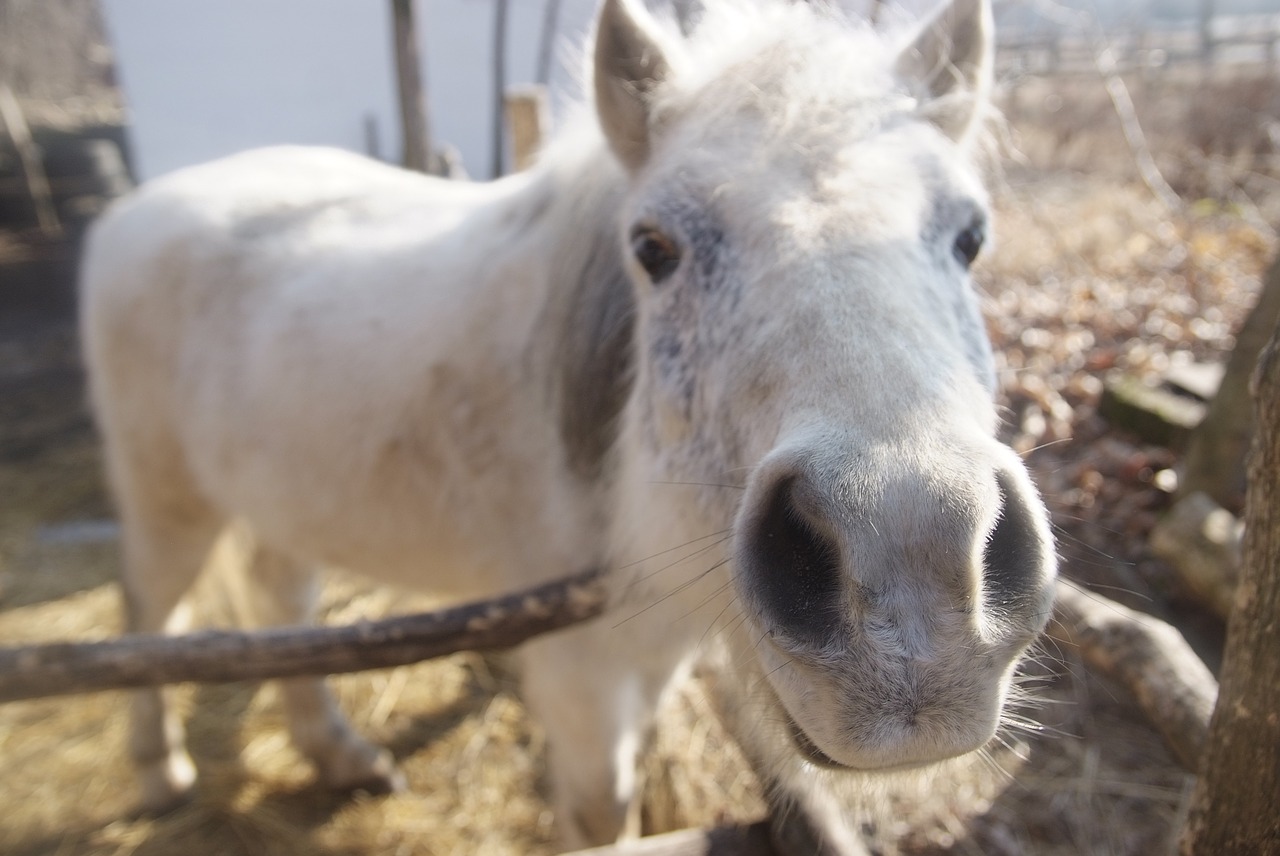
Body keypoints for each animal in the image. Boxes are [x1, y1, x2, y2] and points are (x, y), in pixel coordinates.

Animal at [82, 0, 1059, 844]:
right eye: (653, 248)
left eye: (970, 237)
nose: (911, 563)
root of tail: (132, 211)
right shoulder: (579, 674)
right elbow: (600, 811)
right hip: (167, 503)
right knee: (147, 613)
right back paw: (159, 771)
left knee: (278, 604)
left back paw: (335, 754)